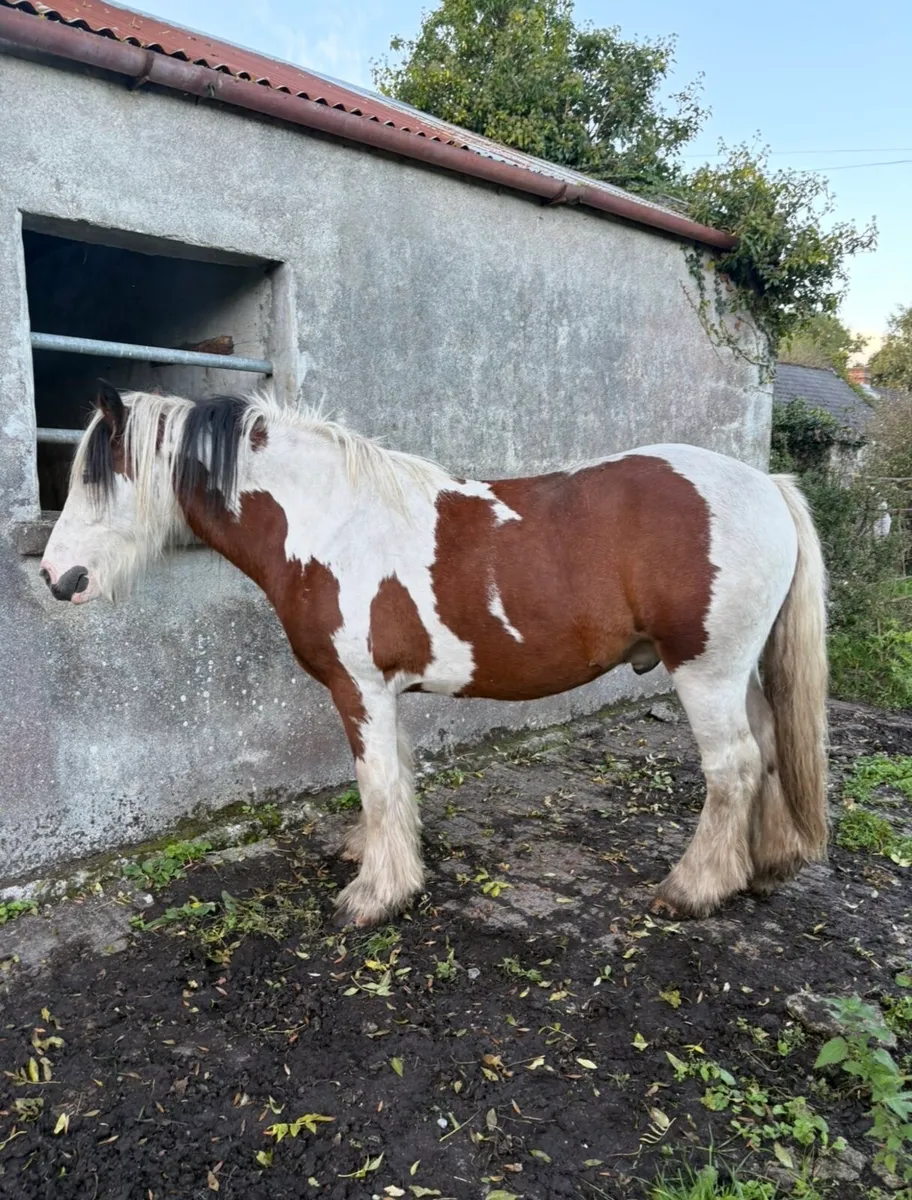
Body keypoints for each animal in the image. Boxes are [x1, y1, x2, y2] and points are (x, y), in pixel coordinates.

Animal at [40, 382, 829, 927]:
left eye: (94, 479)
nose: (54, 578)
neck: (330, 523)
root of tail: (765, 484)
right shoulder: (384, 691)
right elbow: (395, 776)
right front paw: (376, 857)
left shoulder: (358, 687)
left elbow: (376, 779)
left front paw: (374, 895)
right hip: (737, 671)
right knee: (767, 745)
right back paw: (766, 865)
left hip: (705, 671)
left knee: (733, 767)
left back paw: (692, 888)